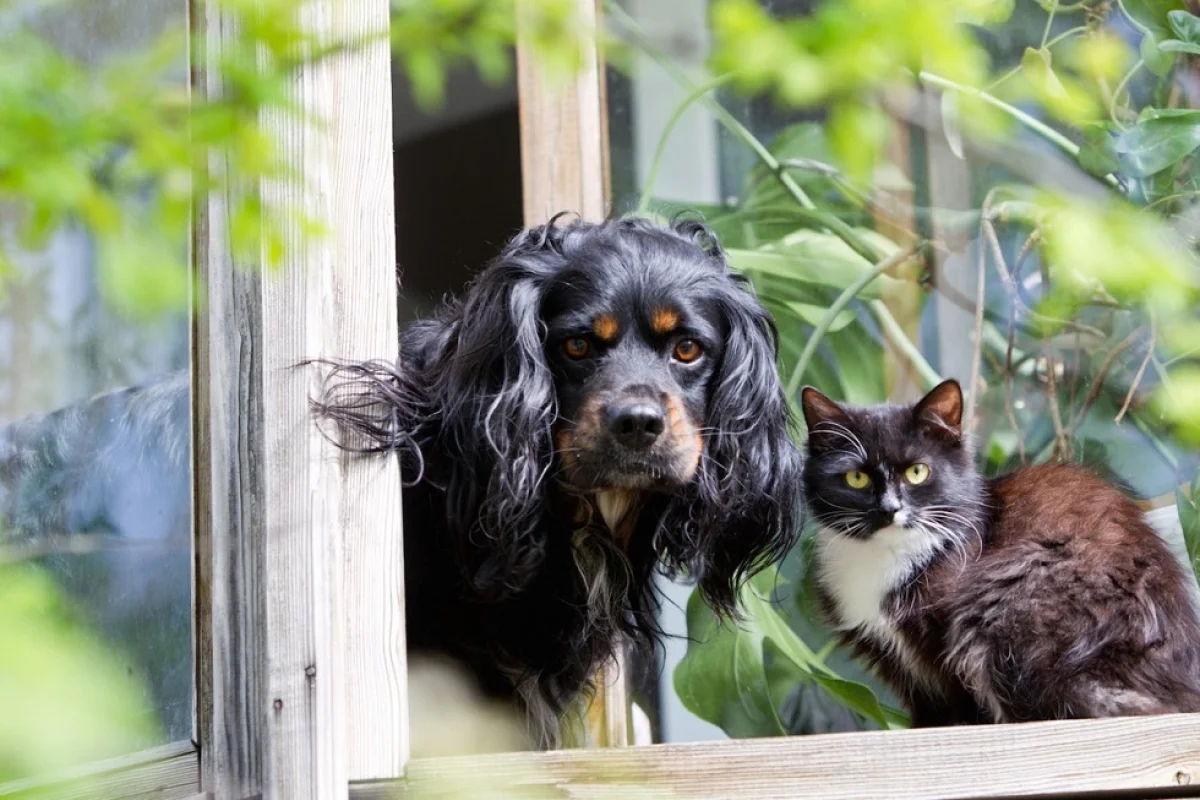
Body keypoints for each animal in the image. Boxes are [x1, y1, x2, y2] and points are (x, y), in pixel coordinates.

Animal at [801, 379, 1200, 729]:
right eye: (856, 478)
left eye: (917, 472)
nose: (889, 509)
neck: (885, 556)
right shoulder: (893, 659)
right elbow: (928, 709)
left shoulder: (944, 642)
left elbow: (961, 696)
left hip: (1010, 598)